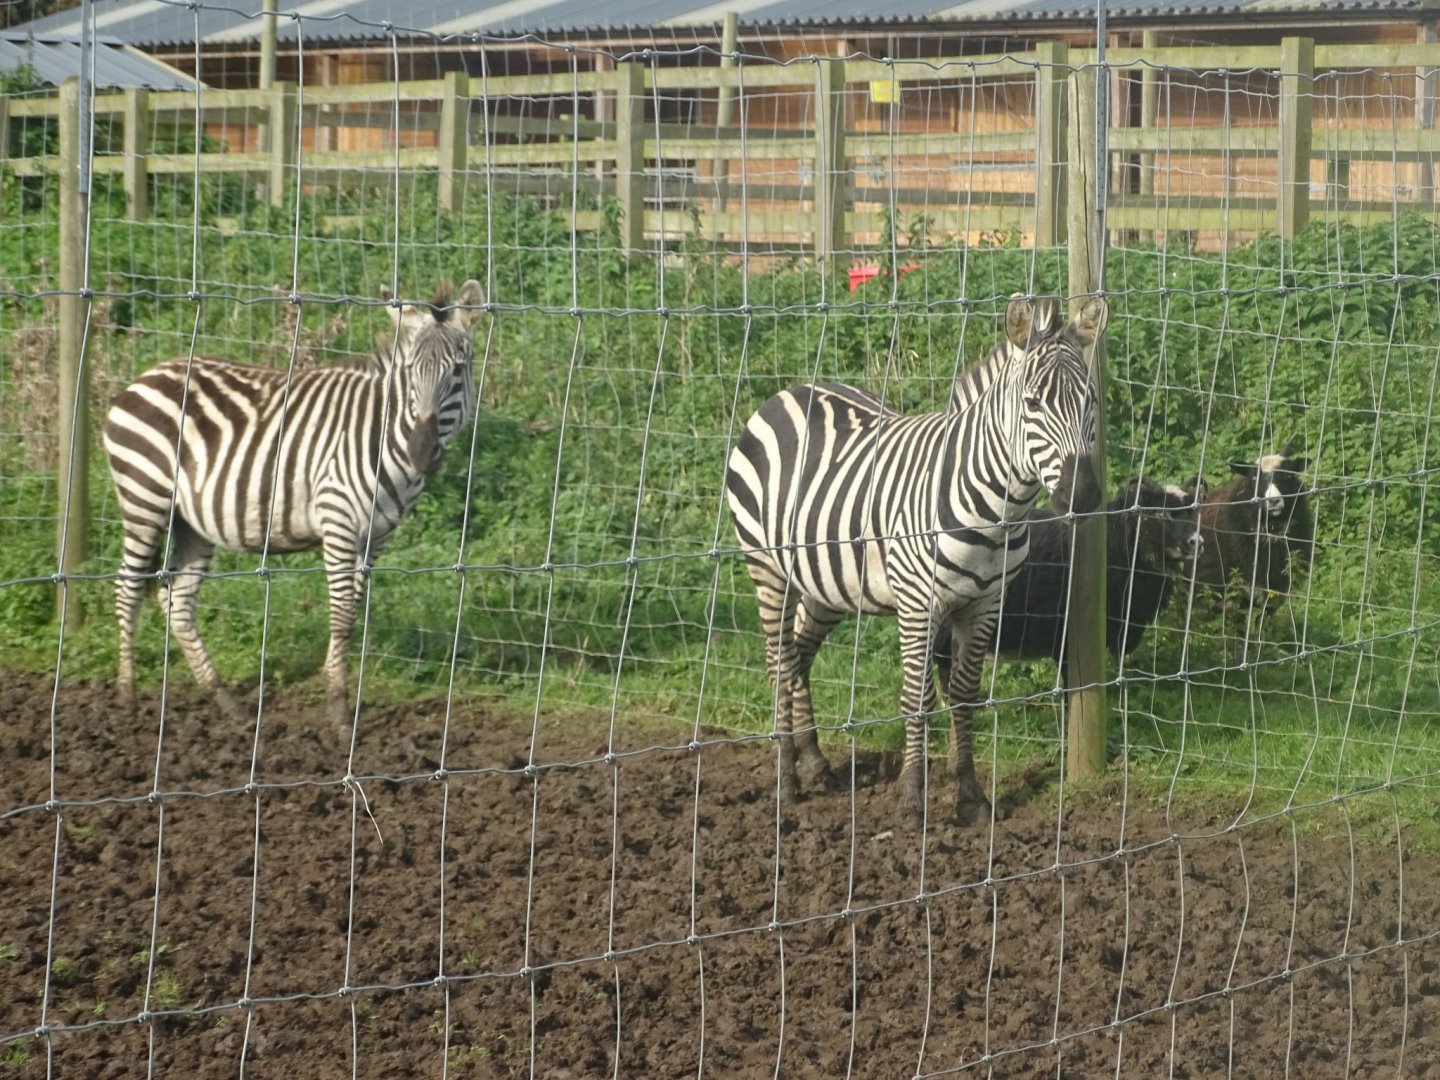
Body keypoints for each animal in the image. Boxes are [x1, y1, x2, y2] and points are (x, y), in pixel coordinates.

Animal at [103, 278, 485, 730]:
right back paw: (127, 697)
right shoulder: (338, 521)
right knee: (127, 589)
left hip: (191, 522)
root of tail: (146, 376)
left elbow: (355, 609)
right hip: (144, 498)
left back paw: (224, 700)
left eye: (457, 370)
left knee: (177, 602)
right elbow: (342, 613)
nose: (422, 453)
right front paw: (338, 710)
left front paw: (338, 695)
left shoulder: (376, 537)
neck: (382, 435)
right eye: (409, 372)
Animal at [724, 295, 1105, 822]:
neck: (996, 512)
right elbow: (917, 696)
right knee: (780, 663)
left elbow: (963, 695)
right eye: (1031, 404)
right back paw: (787, 782)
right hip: (768, 570)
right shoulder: (917, 603)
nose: (1083, 496)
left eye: (1091, 402)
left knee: (799, 653)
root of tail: (790, 391)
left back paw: (815, 761)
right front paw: (911, 794)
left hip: (826, 580)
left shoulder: (984, 605)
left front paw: (970, 794)